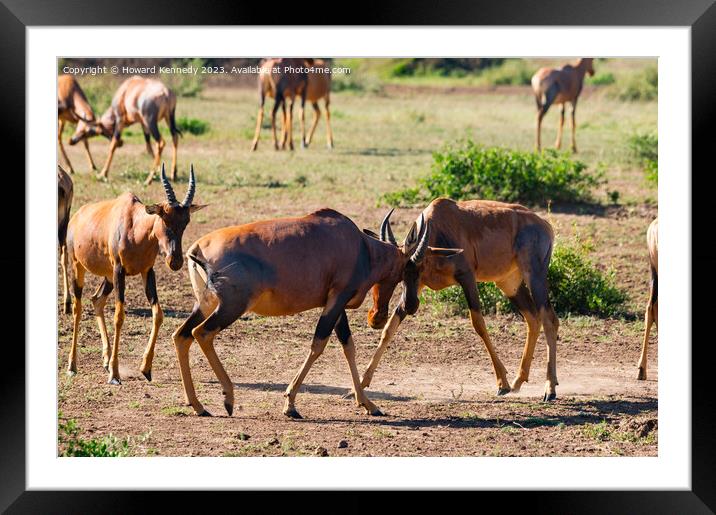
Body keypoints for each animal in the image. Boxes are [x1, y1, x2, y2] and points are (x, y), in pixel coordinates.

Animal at [66, 163, 204, 384]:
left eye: (186, 222)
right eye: (164, 218)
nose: (175, 261)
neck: (134, 224)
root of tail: (77, 215)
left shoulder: (147, 271)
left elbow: (158, 314)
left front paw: (145, 369)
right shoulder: (119, 270)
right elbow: (119, 316)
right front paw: (114, 375)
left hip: (107, 277)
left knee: (96, 300)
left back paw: (105, 360)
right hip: (78, 266)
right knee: (77, 308)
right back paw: (72, 366)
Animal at [172, 208, 458, 418]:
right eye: (411, 268)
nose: (410, 306)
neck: (358, 244)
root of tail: (197, 247)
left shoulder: (336, 304)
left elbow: (348, 346)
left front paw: (369, 404)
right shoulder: (337, 300)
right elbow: (318, 344)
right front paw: (290, 405)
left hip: (205, 304)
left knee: (181, 335)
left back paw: (198, 406)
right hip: (231, 307)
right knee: (201, 333)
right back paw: (228, 400)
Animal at [364, 200, 560, 402]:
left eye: (420, 266)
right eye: (399, 272)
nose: (410, 306)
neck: (440, 226)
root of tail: (544, 225)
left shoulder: (467, 277)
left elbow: (479, 324)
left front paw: (502, 384)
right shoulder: (417, 288)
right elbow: (390, 328)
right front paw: (361, 384)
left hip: (534, 275)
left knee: (549, 320)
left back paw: (549, 390)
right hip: (509, 283)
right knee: (533, 319)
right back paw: (518, 382)